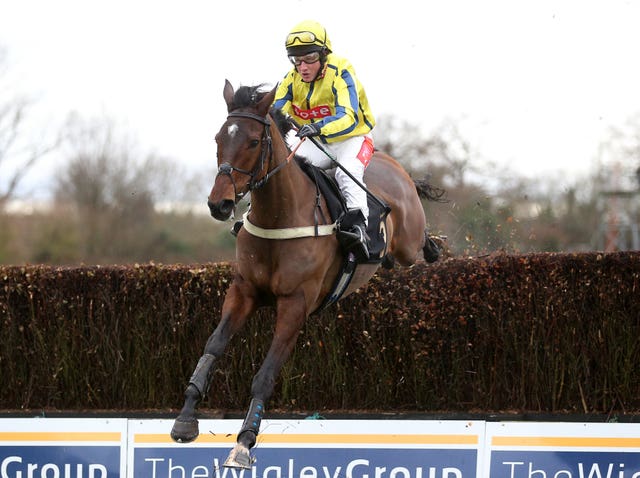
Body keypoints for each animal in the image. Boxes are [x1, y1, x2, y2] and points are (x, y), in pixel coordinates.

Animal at [168, 81, 442, 466]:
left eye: (254, 141)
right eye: (219, 137)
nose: (219, 204)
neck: (279, 217)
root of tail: (395, 166)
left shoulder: (295, 304)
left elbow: (266, 374)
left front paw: (244, 442)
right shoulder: (243, 291)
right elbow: (213, 346)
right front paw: (185, 418)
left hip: (406, 243)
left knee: (418, 245)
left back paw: (433, 245)